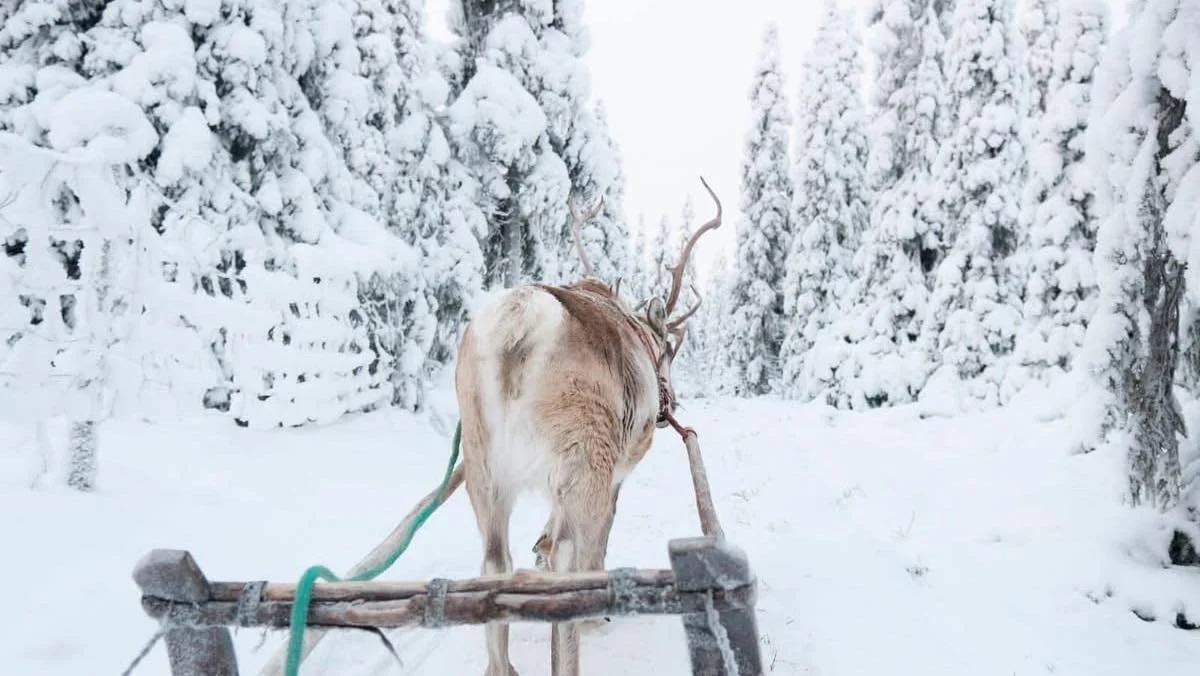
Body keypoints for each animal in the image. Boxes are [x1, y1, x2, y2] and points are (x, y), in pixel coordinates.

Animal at [450, 177, 721, 676]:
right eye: (667, 352)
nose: (670, 404)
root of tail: (518, 323)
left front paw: (537, 543)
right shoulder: (617, 470)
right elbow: (602, 533)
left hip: (481, 464)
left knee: (495, 561)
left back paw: (504, 665)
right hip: (586, 452)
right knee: (567, 553)